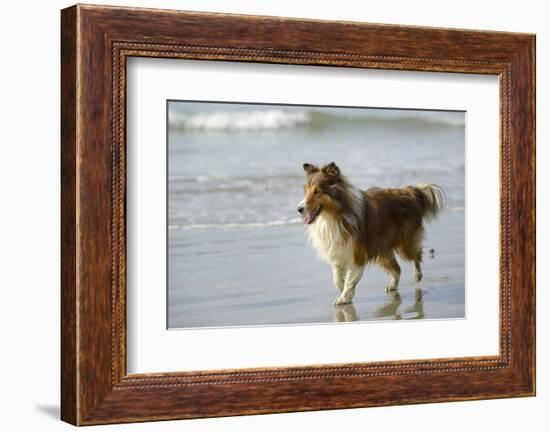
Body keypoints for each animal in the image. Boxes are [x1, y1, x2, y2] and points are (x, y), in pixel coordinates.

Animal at [298, 162, 444, 308]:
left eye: (317, 191)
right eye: (306, 190)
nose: (299, 209)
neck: (335, 215)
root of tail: (411, 192)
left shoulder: (357, 254)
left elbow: (350, 280)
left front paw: (344, 298)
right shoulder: (337, 252)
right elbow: (337, 279)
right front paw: (342, 290)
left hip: (404, 245)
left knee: (416, 256)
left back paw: (417, 275)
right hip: (382, 249)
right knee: (397, 268)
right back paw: (392, 285)